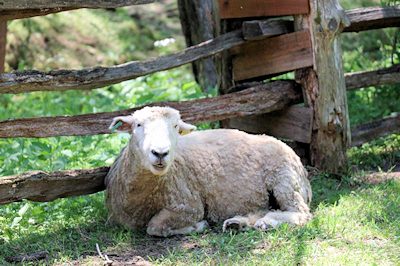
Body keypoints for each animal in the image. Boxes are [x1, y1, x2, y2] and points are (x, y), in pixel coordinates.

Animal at [104, 106, 310, 237]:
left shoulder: (189, 206)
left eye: (176, 126)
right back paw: (238, 223)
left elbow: (155, 226)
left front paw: (197, 226)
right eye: (138, 125)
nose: (160, 153)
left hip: (285, 180)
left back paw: (267, 222)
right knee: (265, 209)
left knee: (301, 213)